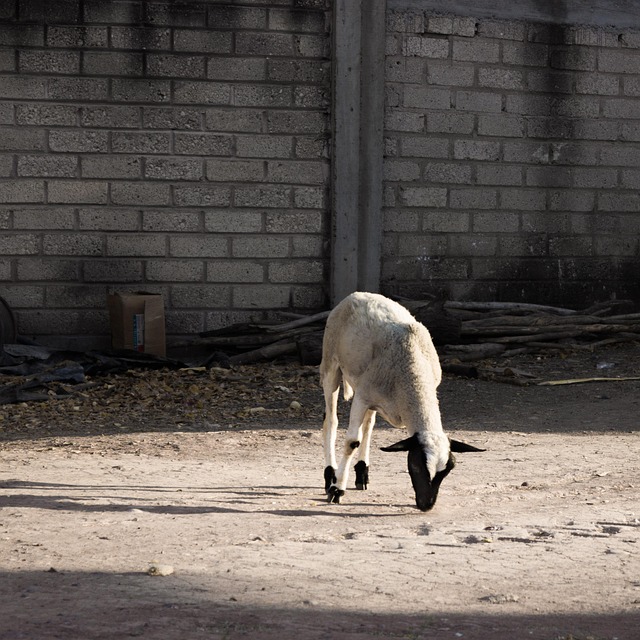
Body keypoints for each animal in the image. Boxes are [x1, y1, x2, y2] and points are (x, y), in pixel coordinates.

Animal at [320, 291, 484, 511]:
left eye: (447, 470)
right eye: (415, 465)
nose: (427, 505)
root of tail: (357, 294)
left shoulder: (371, 396)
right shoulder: (362, 396)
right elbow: (352, 442)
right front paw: (337, 489)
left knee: (368, 425)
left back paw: (362, 472)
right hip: (331, 365)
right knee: (331, 421)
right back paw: (330, 474)